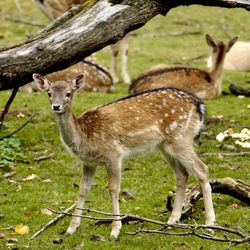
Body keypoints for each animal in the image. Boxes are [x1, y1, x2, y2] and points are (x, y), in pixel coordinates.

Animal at [32, 73, 215, 238]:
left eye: (68, 93)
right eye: (49, 93)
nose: (56, 106)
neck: (85, 137)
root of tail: (200, 105)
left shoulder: (113, 154)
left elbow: (113, 189)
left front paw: (115, 230)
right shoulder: (89, 162)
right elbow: (83, 189)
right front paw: (71, 229)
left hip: (181, 138)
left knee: (202, 169)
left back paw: (209, 224)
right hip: (165, 145)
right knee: (182, 174)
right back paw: (172, 221)